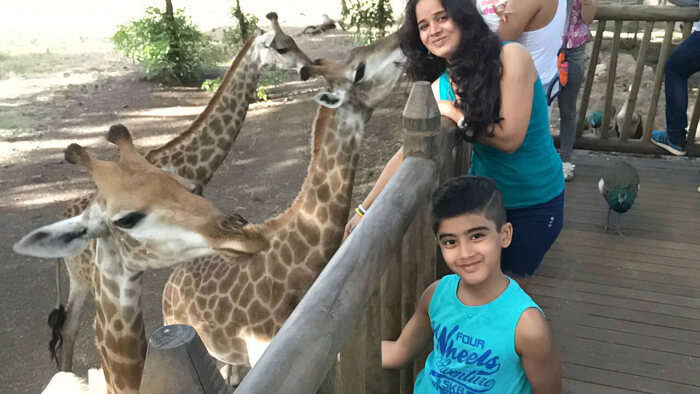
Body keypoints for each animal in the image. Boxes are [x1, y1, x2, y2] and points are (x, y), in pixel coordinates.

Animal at [49, 10, 312, 370]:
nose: (308, 68)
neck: (189, 165)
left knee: (69, 329)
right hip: (94, 278)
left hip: (79, 279)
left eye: (295, 41)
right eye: (282, 48)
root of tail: (63, 214)